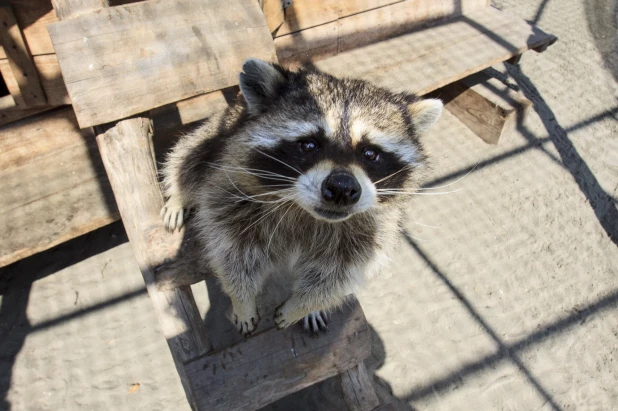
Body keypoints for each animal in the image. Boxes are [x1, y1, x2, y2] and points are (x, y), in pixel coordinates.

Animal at [159, 58, 438, 334]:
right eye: (309, 144)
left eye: (370, 153)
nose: (342, 189)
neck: (305, 212)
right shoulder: (229, 194)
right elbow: (232, 255)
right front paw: (242, 300)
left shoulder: (372, 232)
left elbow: (336, 278)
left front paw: (302, 306)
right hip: (217, 133)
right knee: (188, 158)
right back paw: (178, 194)